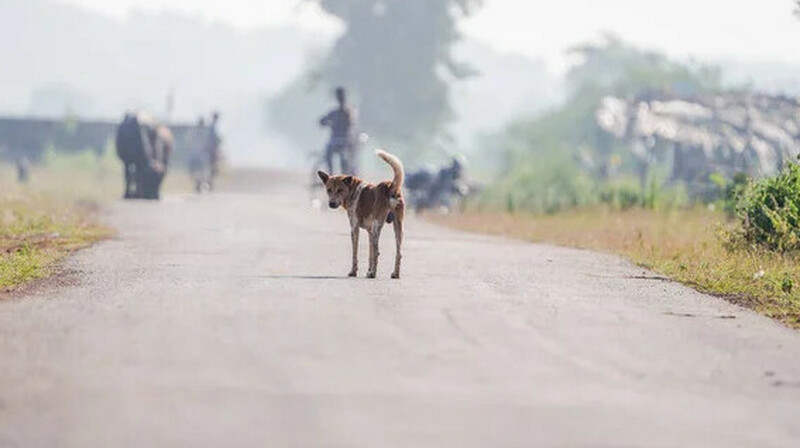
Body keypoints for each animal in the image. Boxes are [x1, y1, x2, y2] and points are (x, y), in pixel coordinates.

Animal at [318, 149, 406, 278]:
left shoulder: (354, 228)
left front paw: (354, 271)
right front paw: (368, 270)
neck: (352, 189)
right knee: (398, 253)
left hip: (376, 226)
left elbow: (355, 253)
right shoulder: (369, 231)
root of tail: (390, 186)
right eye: (329, 190)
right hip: (398, 228)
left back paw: (373, 274)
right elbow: (370, 255)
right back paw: (395, 274)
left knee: (377, 251)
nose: (331, 204)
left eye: (340, 190)